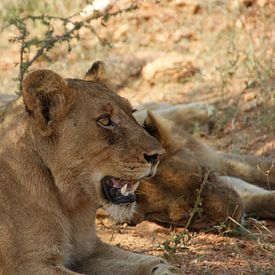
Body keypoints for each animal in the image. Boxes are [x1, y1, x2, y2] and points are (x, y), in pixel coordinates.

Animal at [0, 63, 183, 275]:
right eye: (104, 120)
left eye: (133, 112)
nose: (157, 156)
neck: (69, 203)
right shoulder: (27, 264)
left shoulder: (88, 250)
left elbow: (147, 260)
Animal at [131, 102, 275, 230]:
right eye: (192, 215)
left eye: (203, 176)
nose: (239, 213)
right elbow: (256, 199)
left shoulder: (217, 162)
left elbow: (261, 169)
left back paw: (202, 110)